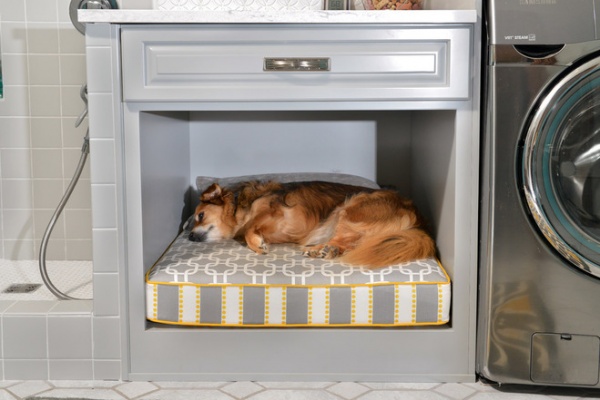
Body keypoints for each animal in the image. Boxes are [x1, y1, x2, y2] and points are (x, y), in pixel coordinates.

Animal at [189, 180, 436, 268]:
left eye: (200, 216)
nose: (190, 237)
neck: (241, 208)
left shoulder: (274, 210)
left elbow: (251, 227)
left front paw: (258, 244)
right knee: (353, 244)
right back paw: (324, 250)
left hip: (349, 208)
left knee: (351, 241)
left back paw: (320, 249)